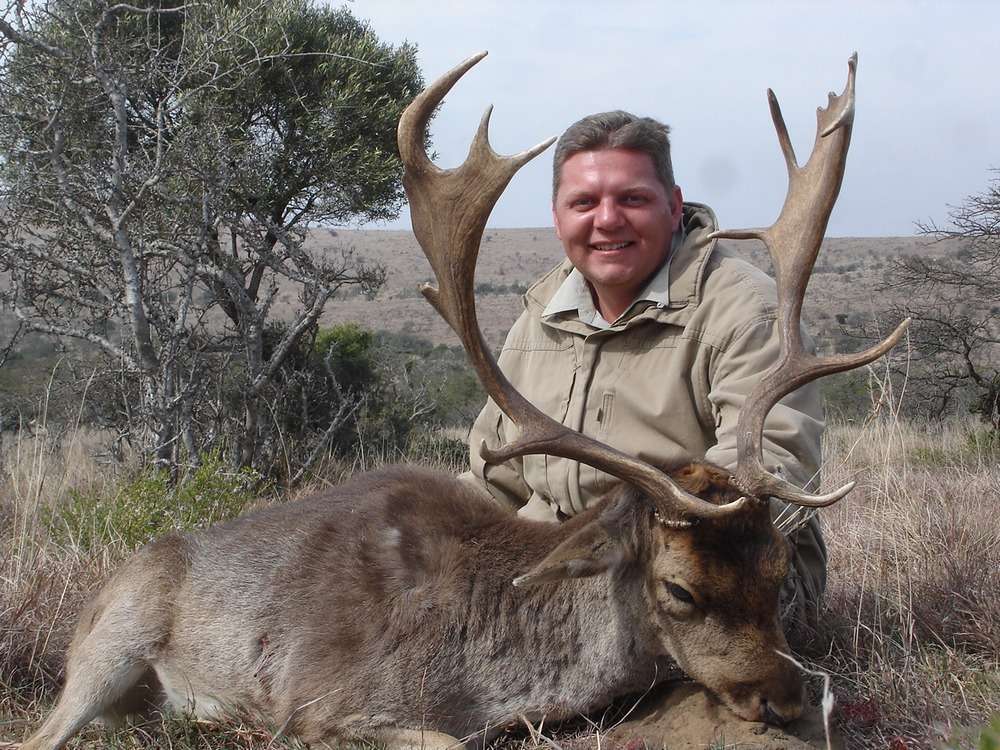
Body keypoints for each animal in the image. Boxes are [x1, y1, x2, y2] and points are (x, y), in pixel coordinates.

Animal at [15, 52, 907, 750]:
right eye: (680, 590)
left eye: (777, 565)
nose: (786, 696)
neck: (489, 668)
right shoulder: (321, 703)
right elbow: (437, 736)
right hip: (107, 649)